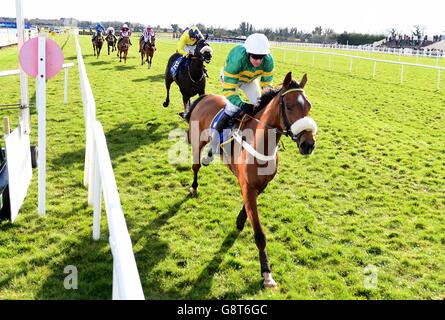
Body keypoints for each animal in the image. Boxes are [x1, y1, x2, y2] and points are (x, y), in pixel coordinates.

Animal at [186, 72, 318, 288]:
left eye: (309, 106)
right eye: (289, 106)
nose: (308, 144)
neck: (261, 143)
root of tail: (205, 97)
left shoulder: (260, 185)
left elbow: (247, 209)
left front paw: (240, 221)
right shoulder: (248, 186)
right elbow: (260, 234)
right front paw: (266, 273)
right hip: (197, 142)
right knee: (196, 166)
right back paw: (194, 186)